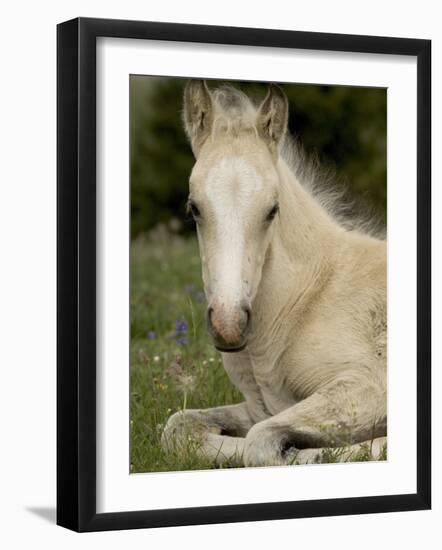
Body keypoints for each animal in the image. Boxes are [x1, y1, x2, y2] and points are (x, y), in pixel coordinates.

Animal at [161, 81, 386, 466]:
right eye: (194, 208)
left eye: (272, 209)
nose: (229, 325)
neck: (307, 301)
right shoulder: (262, 405)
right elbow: (179, 427)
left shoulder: (368, 384)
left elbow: (261, 442)